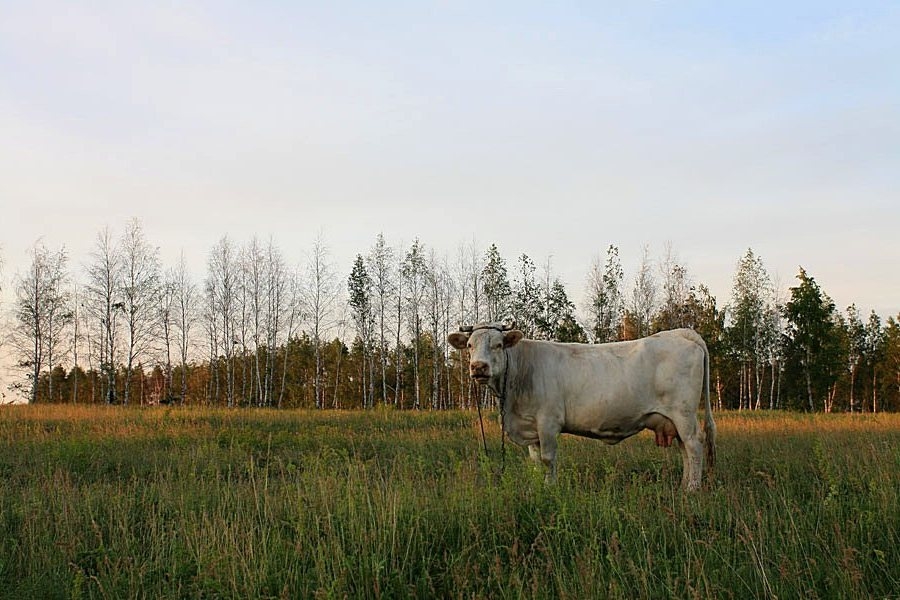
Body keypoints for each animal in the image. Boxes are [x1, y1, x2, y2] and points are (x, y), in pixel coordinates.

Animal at [450, 326, 716, 490]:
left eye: (497, 344)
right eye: (470, 345)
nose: (478, 367)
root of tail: (680, 333)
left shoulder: (548, 422)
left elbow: (547, 458)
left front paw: (550, 488)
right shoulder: (531, 427)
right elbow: (535, 461)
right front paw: (537, 487)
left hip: (684, 413)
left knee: (694, 445)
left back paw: (692, 488)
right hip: (677, 419)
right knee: (684, 449)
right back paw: (683, 485)